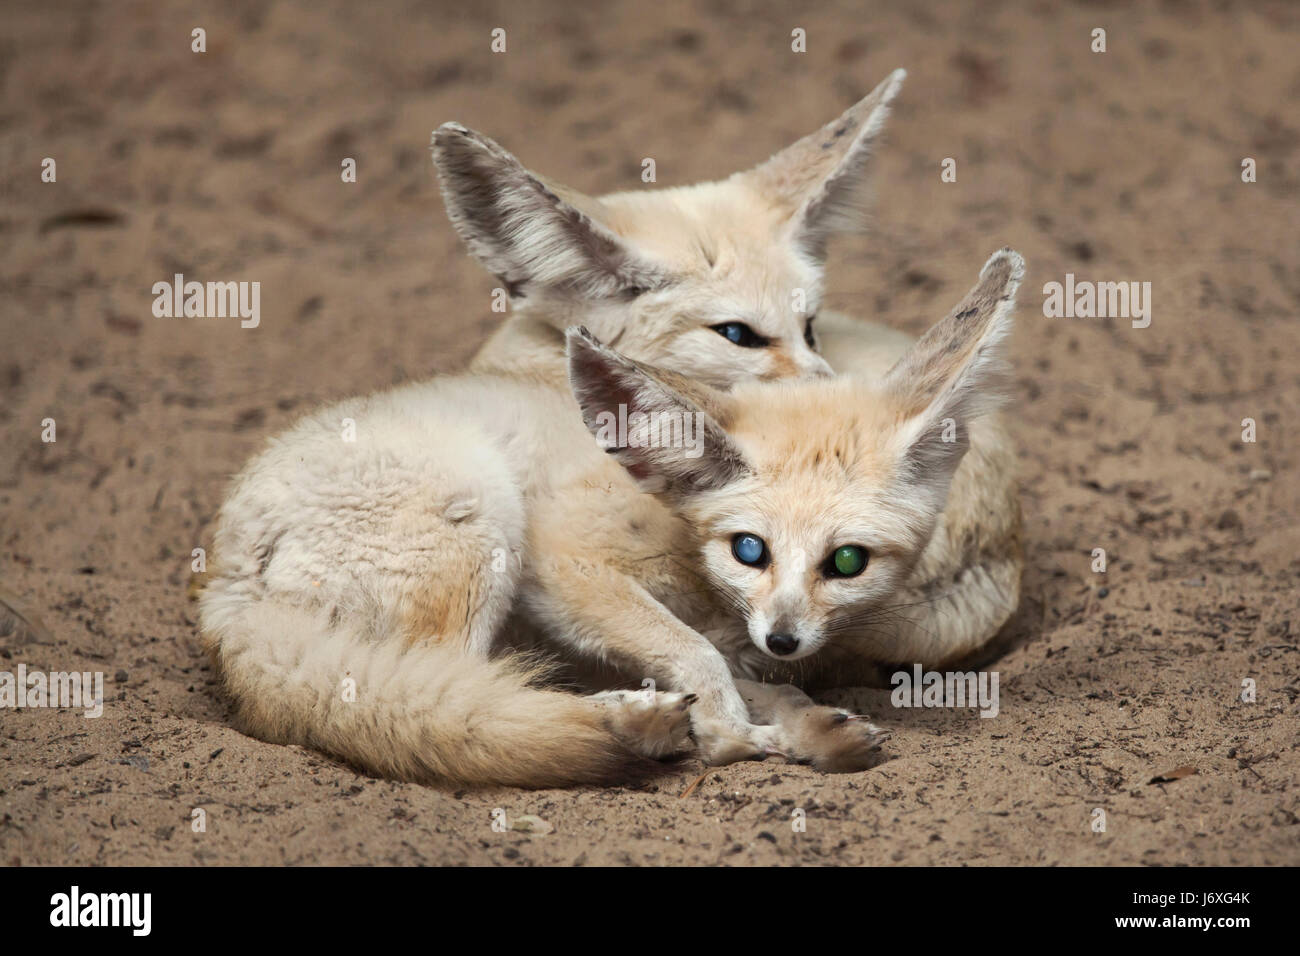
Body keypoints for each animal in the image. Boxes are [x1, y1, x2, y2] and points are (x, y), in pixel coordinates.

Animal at [197, 65, 1019, 785]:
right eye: (739, 335)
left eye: (810, 325)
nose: (845, 388)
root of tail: (222, 589)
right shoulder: (565, 564)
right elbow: (703, 661)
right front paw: (732, 731)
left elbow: (739, 666)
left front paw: (786, 720)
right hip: (483, 522)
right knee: (452, 685)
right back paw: (635, 725)